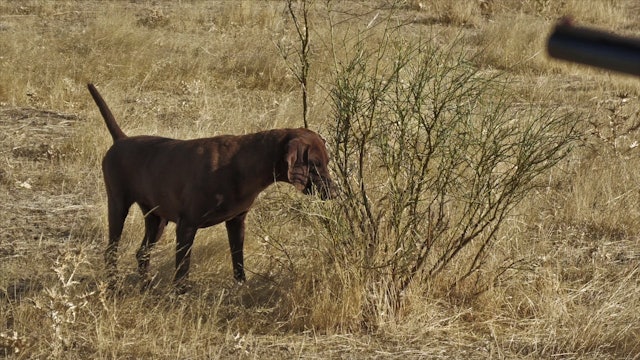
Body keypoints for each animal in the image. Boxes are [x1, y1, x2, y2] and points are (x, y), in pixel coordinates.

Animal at [88, 83, 338, 292]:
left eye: (327, 162)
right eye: (314, 164)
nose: (335, 192)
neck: (242, 164)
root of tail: (121, 139)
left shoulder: (236, 221)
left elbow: (238, 262)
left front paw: (240, 289)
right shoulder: (187, 226)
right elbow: (182, 271)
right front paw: (180, 296)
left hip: (156, 218)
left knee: (142, 253)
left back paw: (146, 286)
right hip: (118, 206)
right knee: (110, 252)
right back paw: (114, 287)